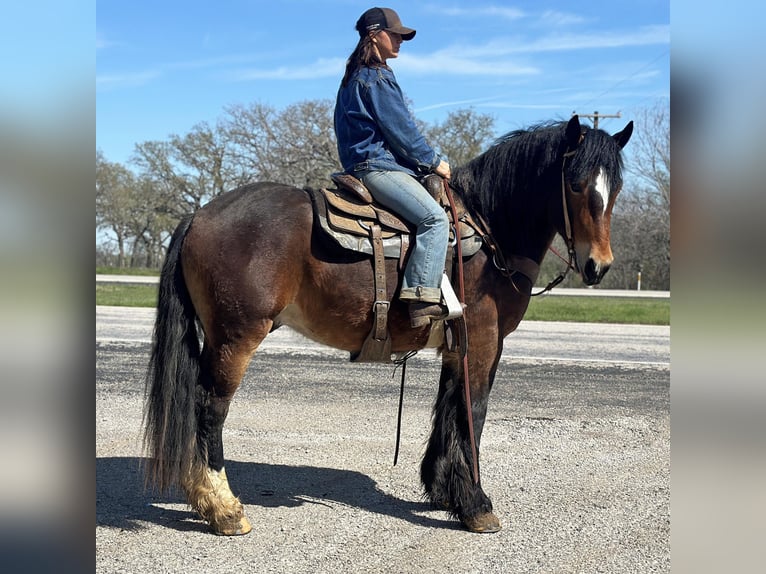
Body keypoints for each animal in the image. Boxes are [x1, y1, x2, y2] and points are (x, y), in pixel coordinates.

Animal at [144, 115, 636, 536]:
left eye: (615, 189)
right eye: (575, 185)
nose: (598, 265)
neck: (489, 232)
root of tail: (199, 215)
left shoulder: (456, 344)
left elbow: (447, 409)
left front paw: (443, 491)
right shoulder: (483, 342)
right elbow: (472, 412)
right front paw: (476, 505)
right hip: (237, 337)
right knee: (210, 410)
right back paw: (224, 508)